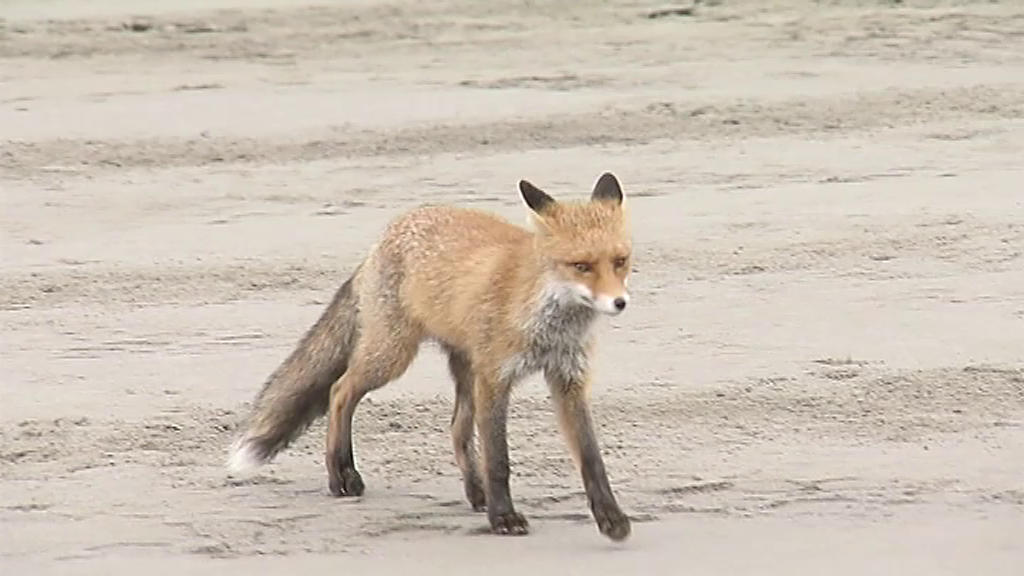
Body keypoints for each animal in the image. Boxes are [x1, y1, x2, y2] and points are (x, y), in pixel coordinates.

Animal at [227, 172, 634, 541]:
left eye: (620, 261)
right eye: (581, 266)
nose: (620, 302)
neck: (546, 320)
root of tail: (382, 239)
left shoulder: (568, 379)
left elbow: (592, 459)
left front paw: (611, 519)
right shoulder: (494, 378)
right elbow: (498, 459)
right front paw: (504, 518)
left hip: (461, 367)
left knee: (456, 429)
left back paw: (476, 493)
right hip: (392, 355)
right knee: (339, 391)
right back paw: (340, 475)